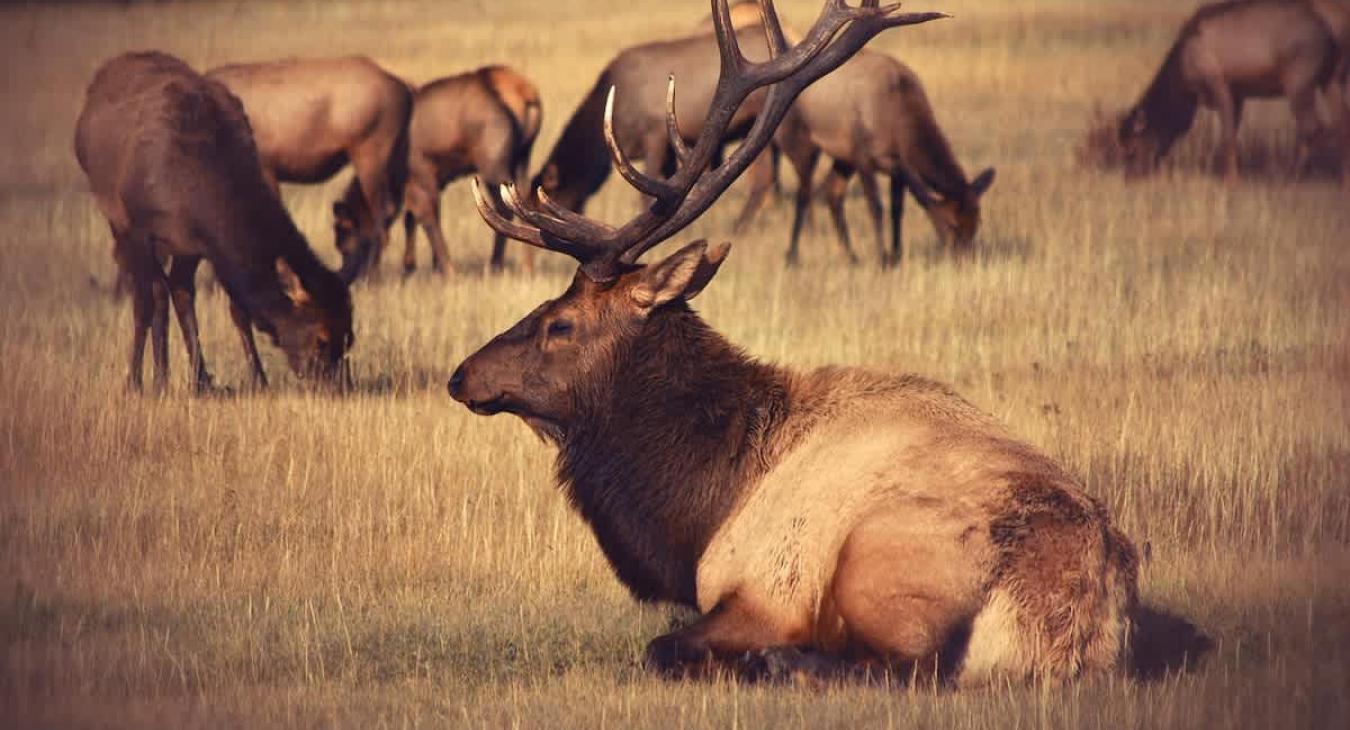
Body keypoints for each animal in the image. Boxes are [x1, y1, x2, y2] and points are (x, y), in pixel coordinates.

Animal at [76, 51, 353, 393]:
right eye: (320, 339)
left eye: (349, 337)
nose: (338, 387)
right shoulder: (138, 230)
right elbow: (142, 304)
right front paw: (133, 383)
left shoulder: (198, 244)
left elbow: (234, 307)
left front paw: (256, 378)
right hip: (116, 219)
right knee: (155, 291)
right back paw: (159, 378)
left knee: (175, 290)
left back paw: (190, 378)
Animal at [378, 66, 542, 276]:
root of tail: (524, 93)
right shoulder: (435, 180)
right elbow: (414, 216)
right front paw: (423, 267)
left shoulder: (420, 174)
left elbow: (425, 214)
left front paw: (445, 270)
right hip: (522, 159)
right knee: (524, 200)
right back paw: (527, 267)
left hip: (492, 167)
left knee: (503, 207)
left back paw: (495, 265)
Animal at [448, 0, 1139, 686]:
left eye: (560, 322)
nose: (462, 376)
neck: (698, 509)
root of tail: (1077, 625)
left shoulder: (763, 590)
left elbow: (660, 646)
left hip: (879, 557)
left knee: (900, 666)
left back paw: (778, 663)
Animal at [1115, 0, 1339, 181]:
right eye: (1123, 149)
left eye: (1132, 149)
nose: (1129, 178)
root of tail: (1328, 35)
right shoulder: (1238, 94)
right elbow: (1233, 133)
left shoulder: (1219, 84)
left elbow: (1227, 136)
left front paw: (1231, 179)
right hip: (1329, 80)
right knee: (1340, 122)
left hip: (1298, 82)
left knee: (1311, 126)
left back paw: (1293, 175)